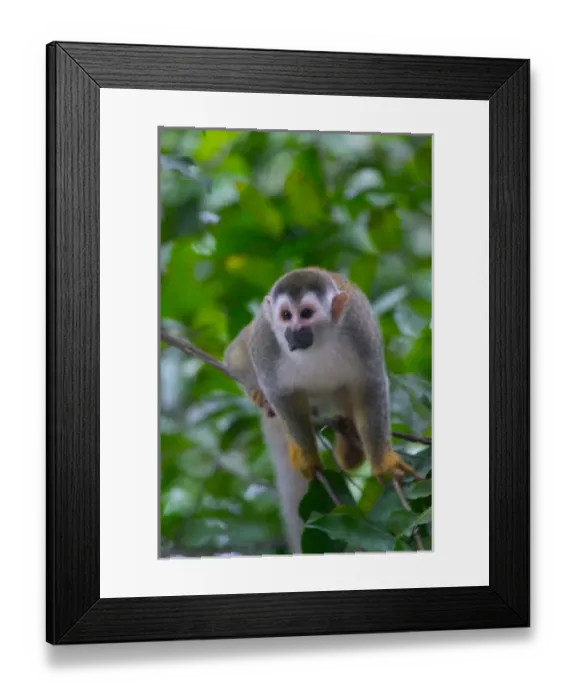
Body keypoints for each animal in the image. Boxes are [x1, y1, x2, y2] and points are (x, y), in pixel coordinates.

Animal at [223, 266, 415, 553]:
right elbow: (279, 394)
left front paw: (383, 463)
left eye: (306, 313)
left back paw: (349, 444)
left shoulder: (360, 329)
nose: (293, 330)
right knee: (240, 356)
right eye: (286, 315)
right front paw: (307, 457)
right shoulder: (265, 340)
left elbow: (370, 386)